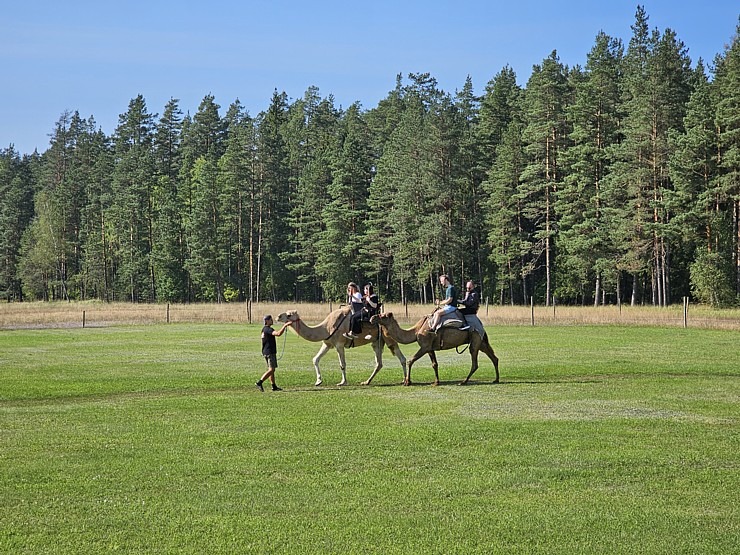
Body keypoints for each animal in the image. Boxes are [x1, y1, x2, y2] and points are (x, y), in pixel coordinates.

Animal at [278, 308, 408, 386]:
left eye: (288, 315)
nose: (278, 316)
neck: (326, 327)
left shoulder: (339, 344)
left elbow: (342, 364)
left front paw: (343, 382)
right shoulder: (327, 343)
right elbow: (315, 359)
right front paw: (318, 381)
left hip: (389, 337)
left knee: (401, 358)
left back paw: (405, 380)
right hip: (377, 342)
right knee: (379, 363)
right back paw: (366, 381)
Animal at [368, 312, 500, 386]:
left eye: (383, 315)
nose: (372, 317)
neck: (416, 331)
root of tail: (481, 325)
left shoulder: (425, 346)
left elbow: (411, 360)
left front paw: (407, 382)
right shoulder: (430, 348)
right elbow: (434, 364)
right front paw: (436, 382)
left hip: (475, 339)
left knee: (475, 363)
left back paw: (463, 382)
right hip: (481, 342)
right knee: (494, 358)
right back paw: (496, 379)